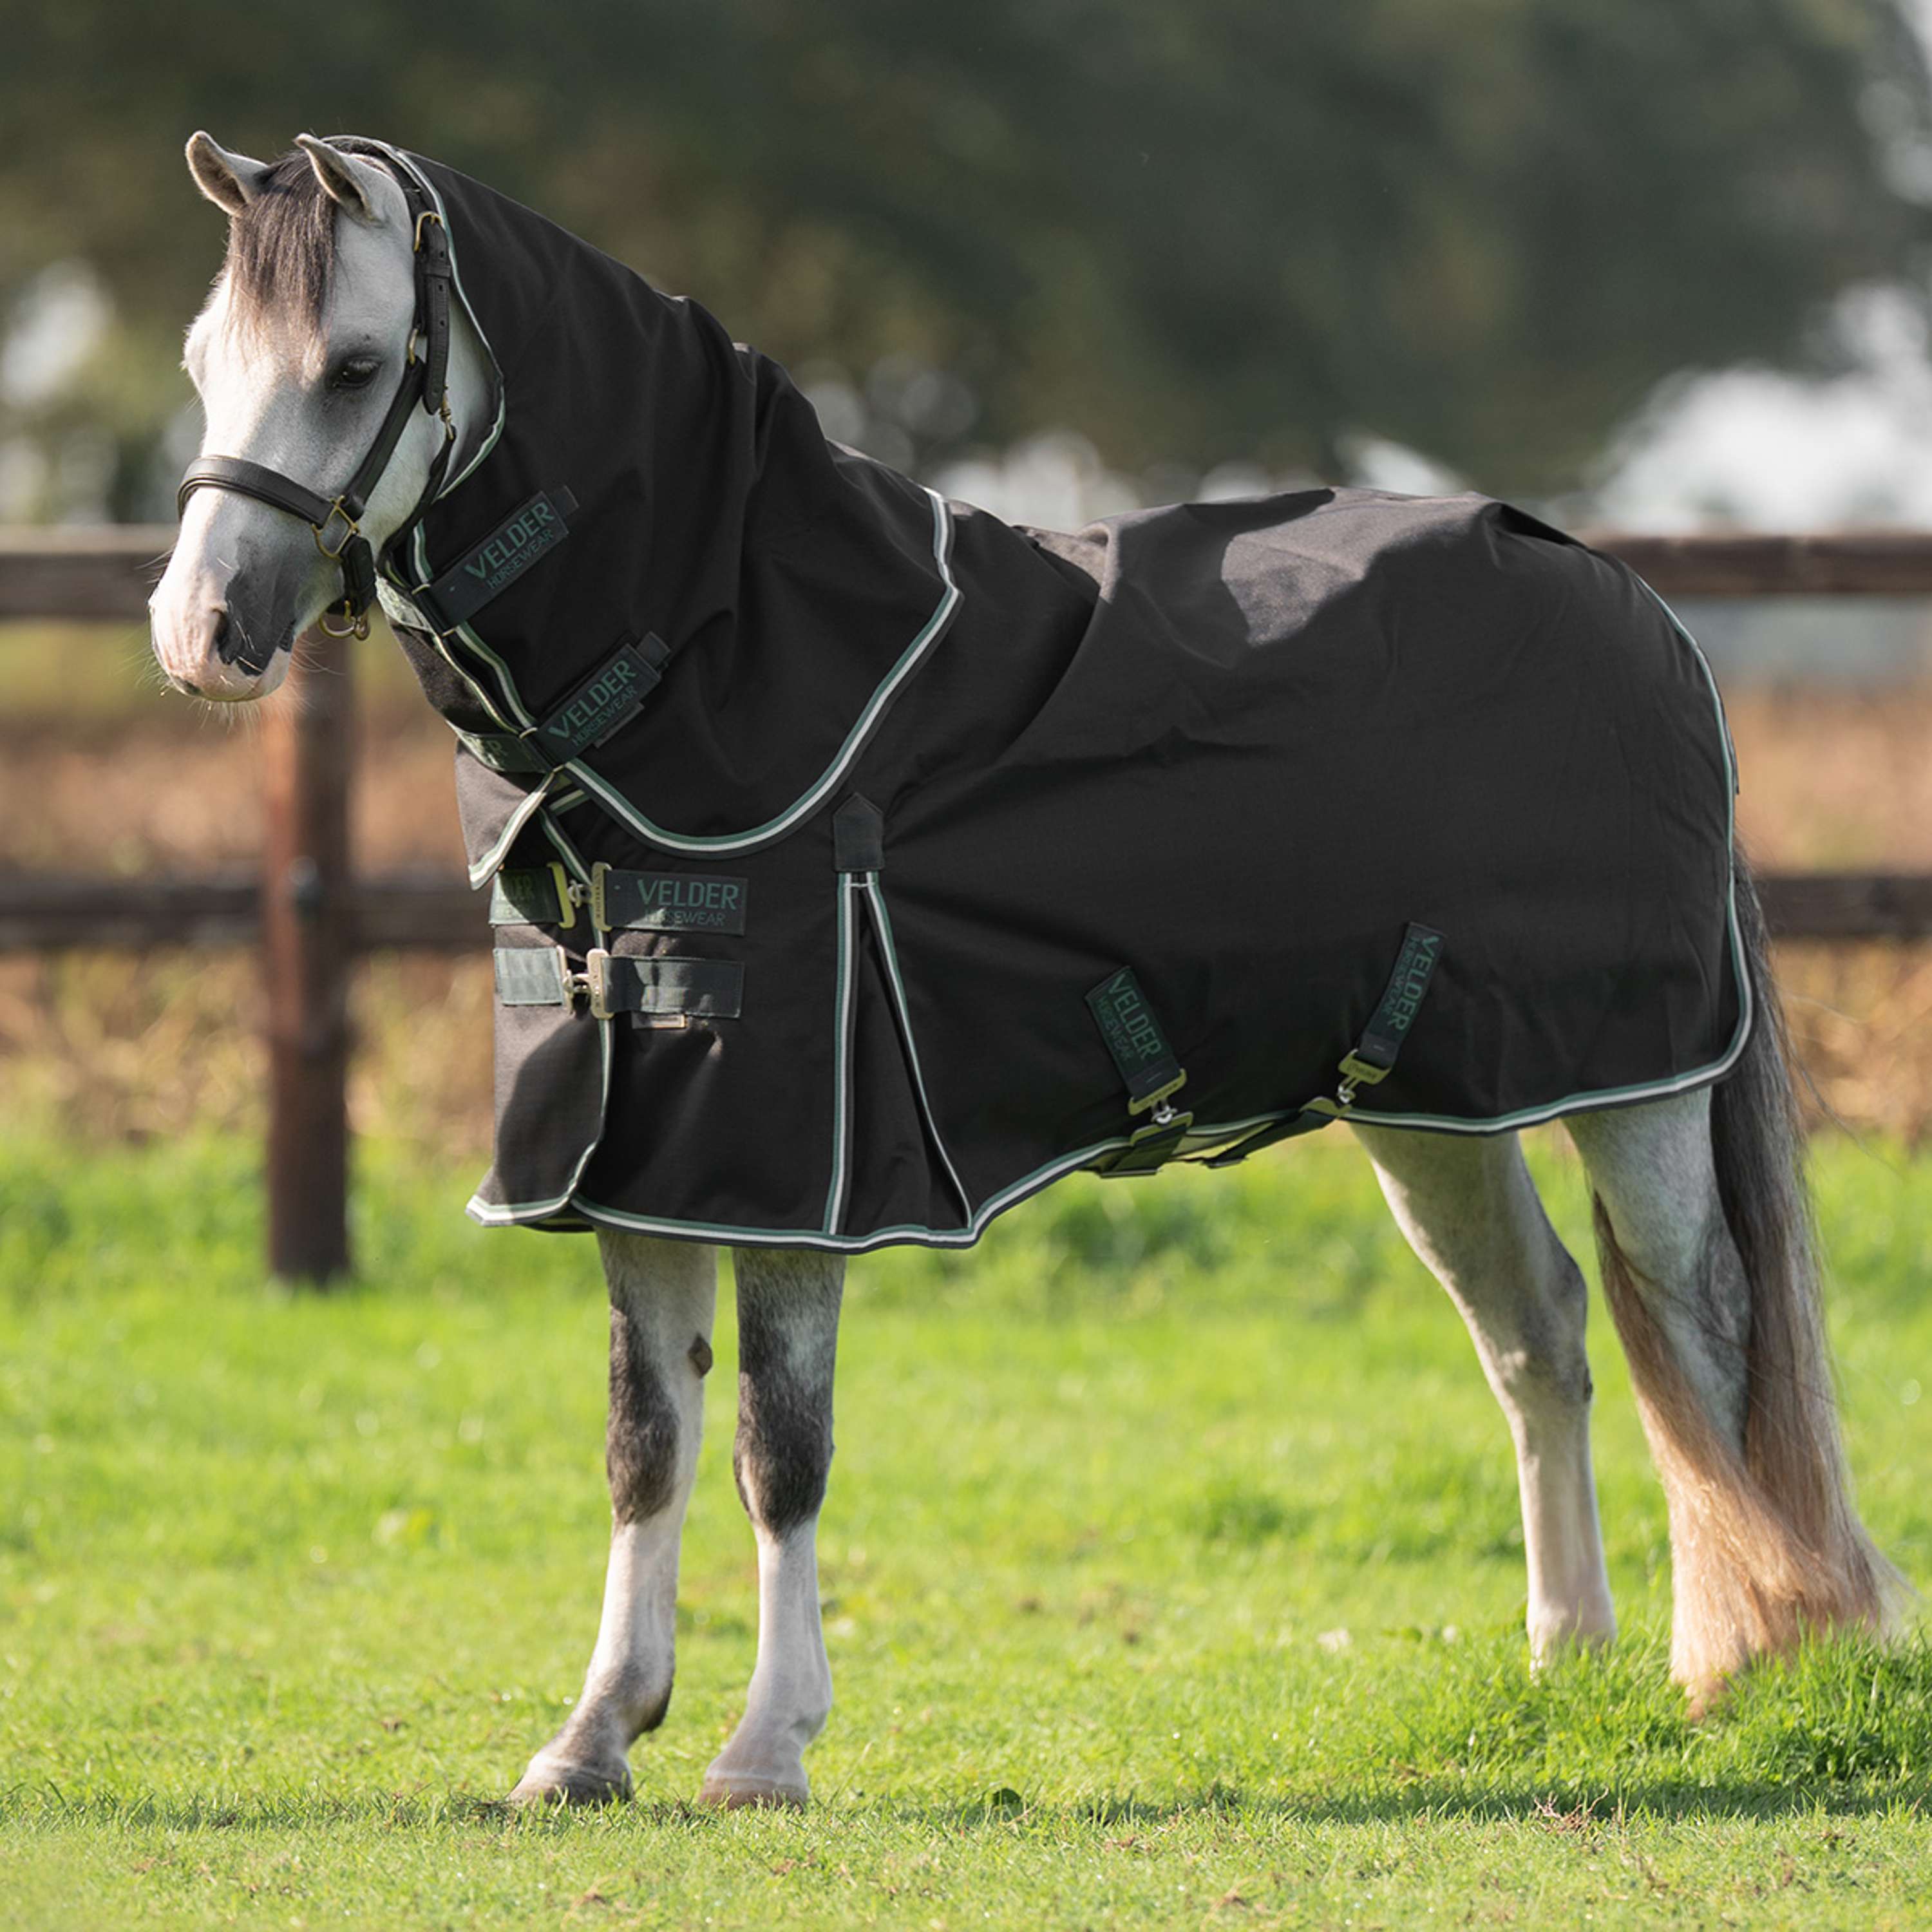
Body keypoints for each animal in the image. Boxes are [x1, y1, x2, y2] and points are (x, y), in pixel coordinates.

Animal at [149, 131, 1896, 1810]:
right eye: (198, 360)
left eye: (354, 366)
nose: (199, 634)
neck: (733, 661)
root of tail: (1627, 597)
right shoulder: (641, 1151)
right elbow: (644, 1444)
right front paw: (590, 1743)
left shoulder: (793, 1166)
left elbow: (777, 1449)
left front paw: (764, 1749)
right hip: (1429, 1101)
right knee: (1538, 1331)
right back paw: (1566, 1660)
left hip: (1635, 1085)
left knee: (1703, 1325)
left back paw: (1747, 1659)